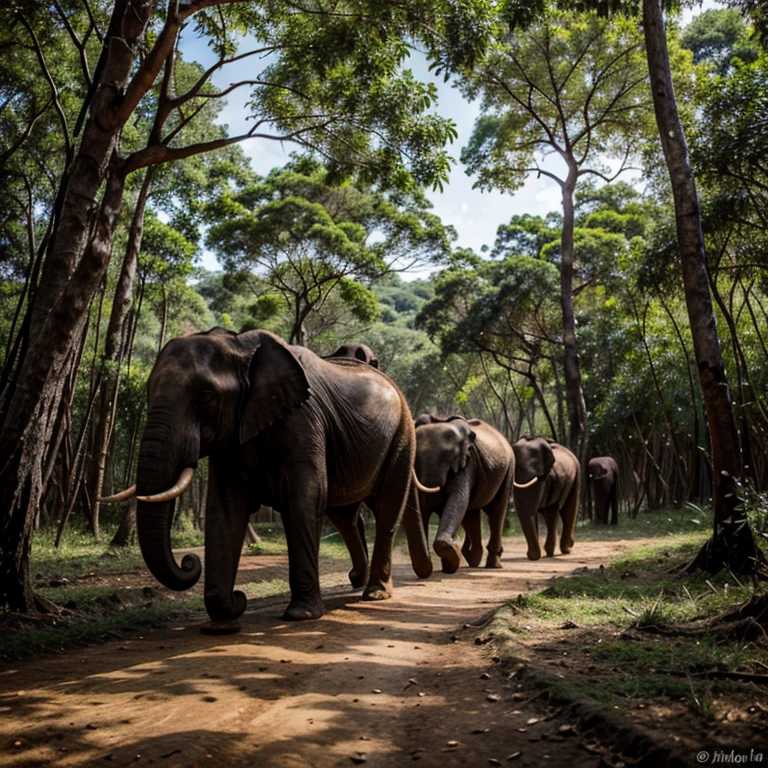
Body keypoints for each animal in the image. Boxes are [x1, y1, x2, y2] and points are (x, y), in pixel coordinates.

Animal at [103, 328, 432, 632]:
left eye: (205, 397)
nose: (189, 562)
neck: (240, 347)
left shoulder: (304, 419)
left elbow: (304, 498)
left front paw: (300, 615)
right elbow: (225, 509)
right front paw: (224, 620)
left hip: (402, 436)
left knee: (386, 508)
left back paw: (375, 593)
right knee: (344, 515)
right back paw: (357, 581)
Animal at [414, 414, 516, 568]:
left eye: (450, 456)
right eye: (416, 458)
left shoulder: (467, 463)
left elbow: (458, 498)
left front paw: (450, 553)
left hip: (508, 470)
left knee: (496, 511)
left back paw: (493, 564)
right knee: (471, 512)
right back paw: (473, 559)